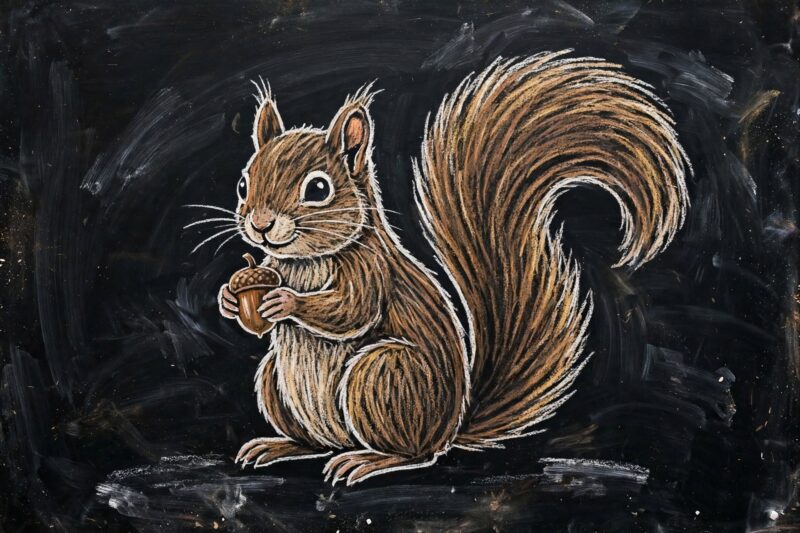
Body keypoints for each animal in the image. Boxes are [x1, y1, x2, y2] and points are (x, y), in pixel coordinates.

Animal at [216, 50, 690, 486]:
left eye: (318, 189)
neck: (303, 260)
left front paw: (285, 301)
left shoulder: (371, 271)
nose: (259, 225)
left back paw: (368, 460)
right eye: (242, 183)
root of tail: (451, 428)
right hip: (275, 378)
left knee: (414, 454)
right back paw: (279, 445)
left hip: (383, 375)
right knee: (315, 441)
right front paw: (229, 299)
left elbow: (351, 311)